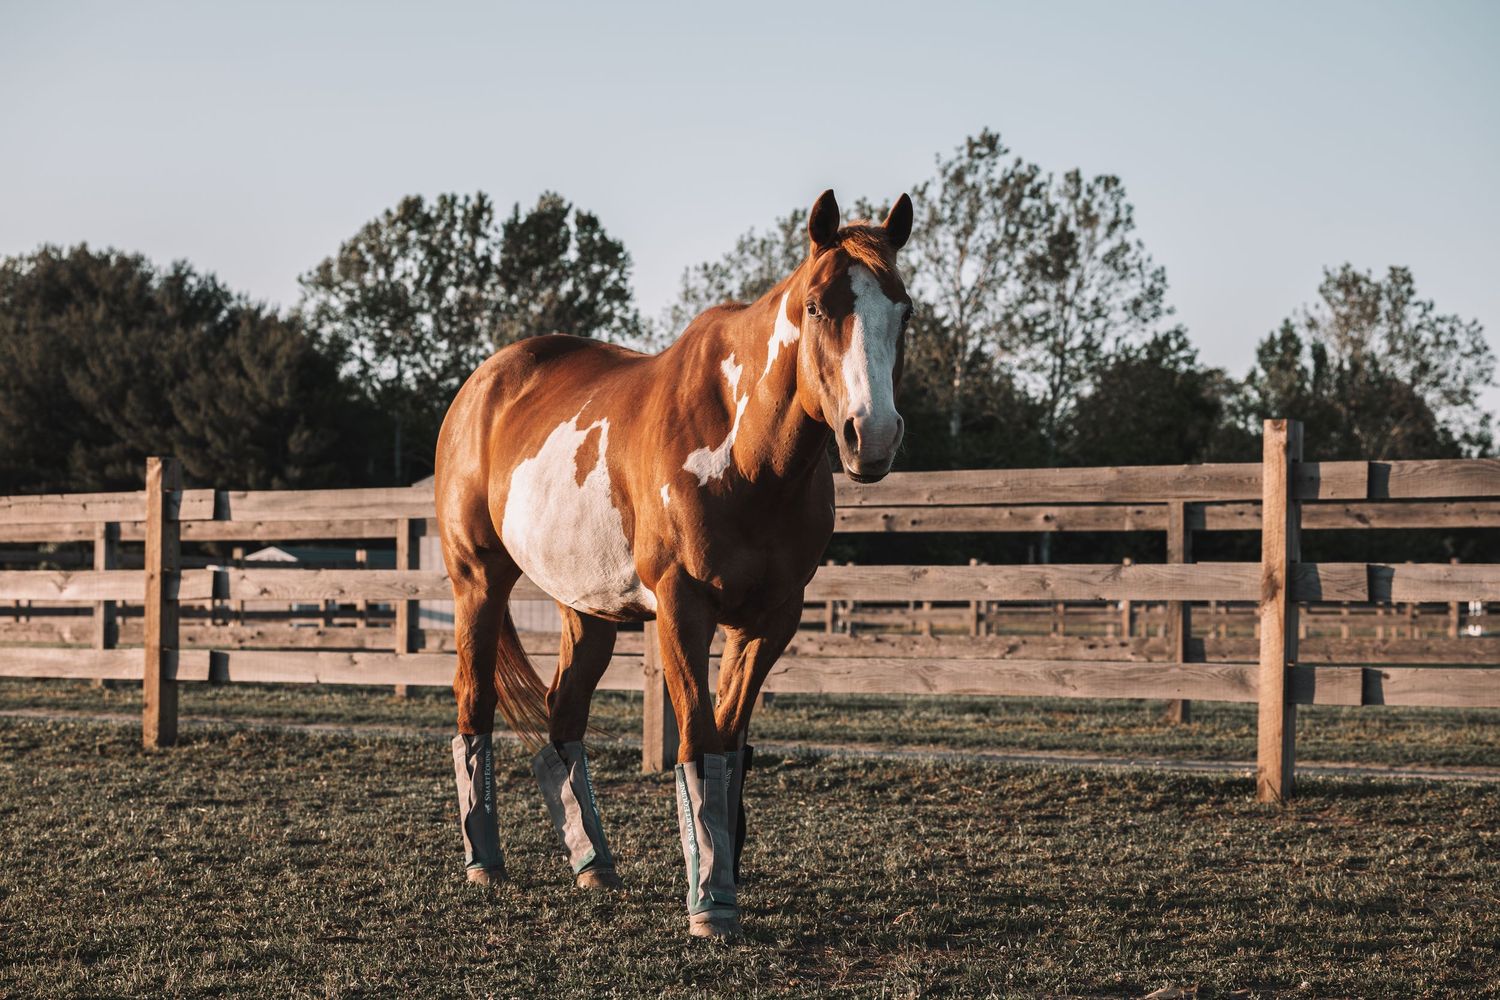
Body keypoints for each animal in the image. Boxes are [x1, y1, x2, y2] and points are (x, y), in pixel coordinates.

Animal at [433, 188, 913, 938]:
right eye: (816, 307)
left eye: (905, 310)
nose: (874, 435)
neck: (747, 454)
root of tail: (484, 382)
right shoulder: (683, 608)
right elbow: (695, 738)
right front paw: (710, 901)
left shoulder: (771, 618)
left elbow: (730, 742)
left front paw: (722, 873)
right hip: (477, 582)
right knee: (474, 703)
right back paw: (484, 862)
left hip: (588, 609)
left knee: (564, 718)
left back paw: (594, 864)